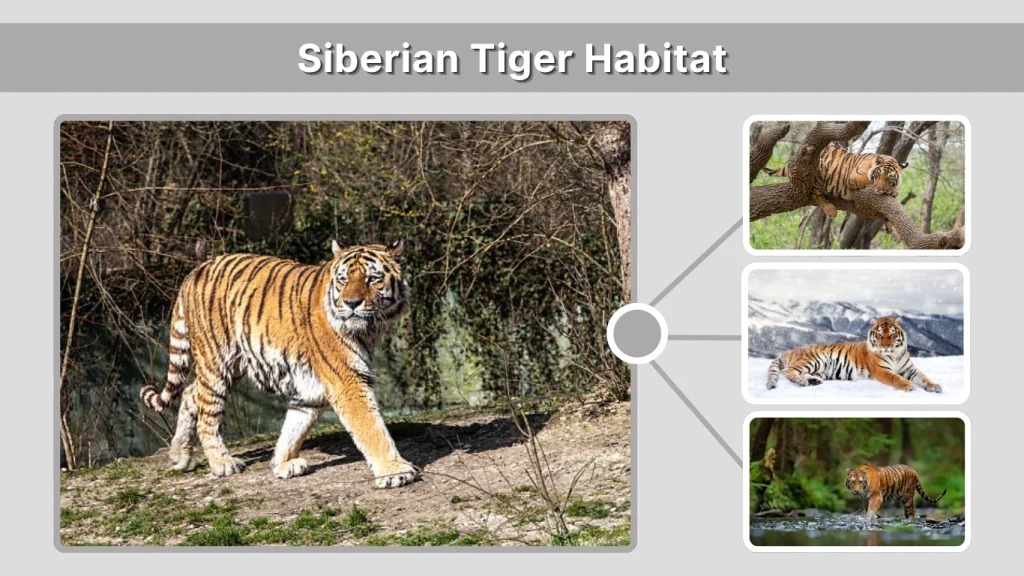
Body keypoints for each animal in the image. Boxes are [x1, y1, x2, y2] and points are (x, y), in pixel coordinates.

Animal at [140, 240, 418, 488]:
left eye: (372, 279)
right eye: (343, 280)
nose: (351, 303)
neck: (370, 329)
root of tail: (196, 270)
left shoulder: (311, 388)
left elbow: (294, 427)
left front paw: (282, 463)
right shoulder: (346, 379)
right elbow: (371, 428)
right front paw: (395, 472)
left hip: (234, 365)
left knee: (189, 393)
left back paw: (179, 457)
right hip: (215, 362)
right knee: (207, 415)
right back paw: (222, 463)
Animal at [762, 144, 908, 218]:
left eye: (888, 178)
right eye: (878, 175)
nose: (879, 189)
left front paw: (893, 190)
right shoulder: (855, 177)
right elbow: (869, 181)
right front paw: (892, 191)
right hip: (820, 170)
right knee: (815, 194)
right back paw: (830, 210)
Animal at [765, 317, 942, 393]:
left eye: (892, 334)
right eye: (879, 335)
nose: (885, 346)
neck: (895, 354)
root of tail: (791, 350)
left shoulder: (909, 369)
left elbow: (924, 377)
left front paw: (934, 386)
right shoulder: (881, 370)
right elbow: (895, 378)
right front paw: (907, 385)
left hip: (820, 369)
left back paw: (813, 381)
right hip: (814, 360)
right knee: (787, 371)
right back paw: (801, 381)